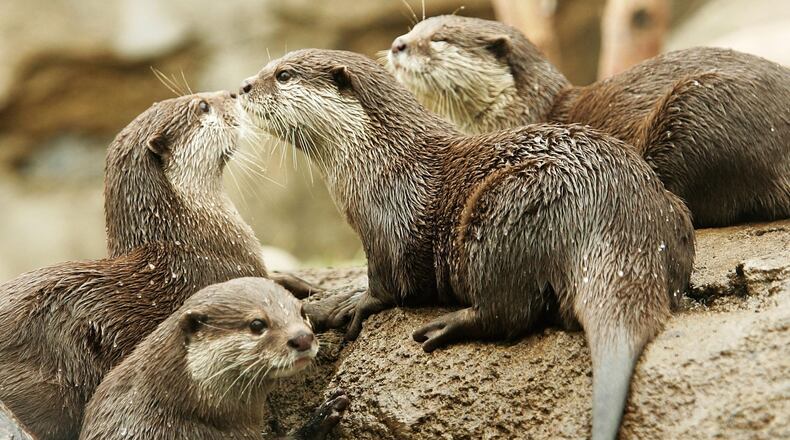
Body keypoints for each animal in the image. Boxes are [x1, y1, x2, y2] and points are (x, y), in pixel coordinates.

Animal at [239, 49, 695, 440]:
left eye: (282, 75)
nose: (243, 86)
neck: (379, 158)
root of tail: (613, 205)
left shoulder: (389, 221)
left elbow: (387, 287)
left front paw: (339, 305)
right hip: (675, 215)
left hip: (507, 208)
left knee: (511, 311)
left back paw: (447, 325)